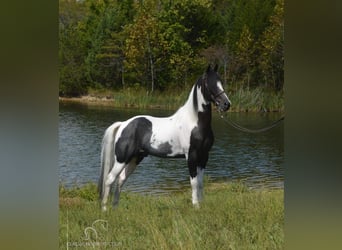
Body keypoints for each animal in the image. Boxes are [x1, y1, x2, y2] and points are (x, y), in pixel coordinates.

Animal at [100, 65, 231, 211]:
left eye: (221, 82)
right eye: (210, 84)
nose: (226, 104)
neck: (194, 122)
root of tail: (123, 124)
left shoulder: (204, 156)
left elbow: (201, 182)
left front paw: (201, 204)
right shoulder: (191, 156)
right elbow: (194, 182)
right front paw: (196, 206)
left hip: (135, 158)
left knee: (121, 179)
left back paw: (115, 208)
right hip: (122, 159)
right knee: (110, 179)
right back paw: (105, 210)